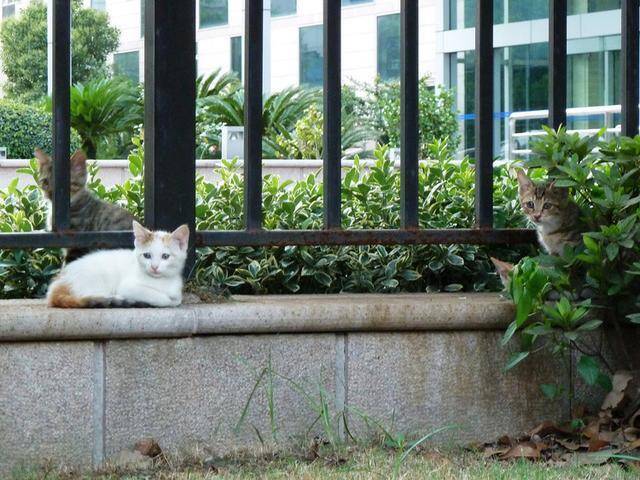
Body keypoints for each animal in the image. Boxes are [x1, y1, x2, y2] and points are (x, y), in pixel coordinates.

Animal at [47, 220, 189, 308]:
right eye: (147, 255)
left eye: (165, 256)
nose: (154, 267)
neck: (161, 282)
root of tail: (59, 282)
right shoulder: (127, 287)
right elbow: (165, 299)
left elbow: (177, 299)